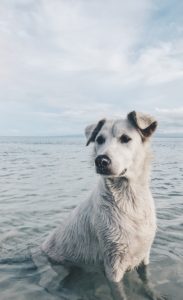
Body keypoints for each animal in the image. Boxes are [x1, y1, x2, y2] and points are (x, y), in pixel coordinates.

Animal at [41, 111, 167, 298]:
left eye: (125, 138)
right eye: (99, 139)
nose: (101, 160)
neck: (130, 201)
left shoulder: (144, 256)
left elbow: (147, 279)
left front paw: (153, 293)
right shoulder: (113, 265)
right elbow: (120, 293)